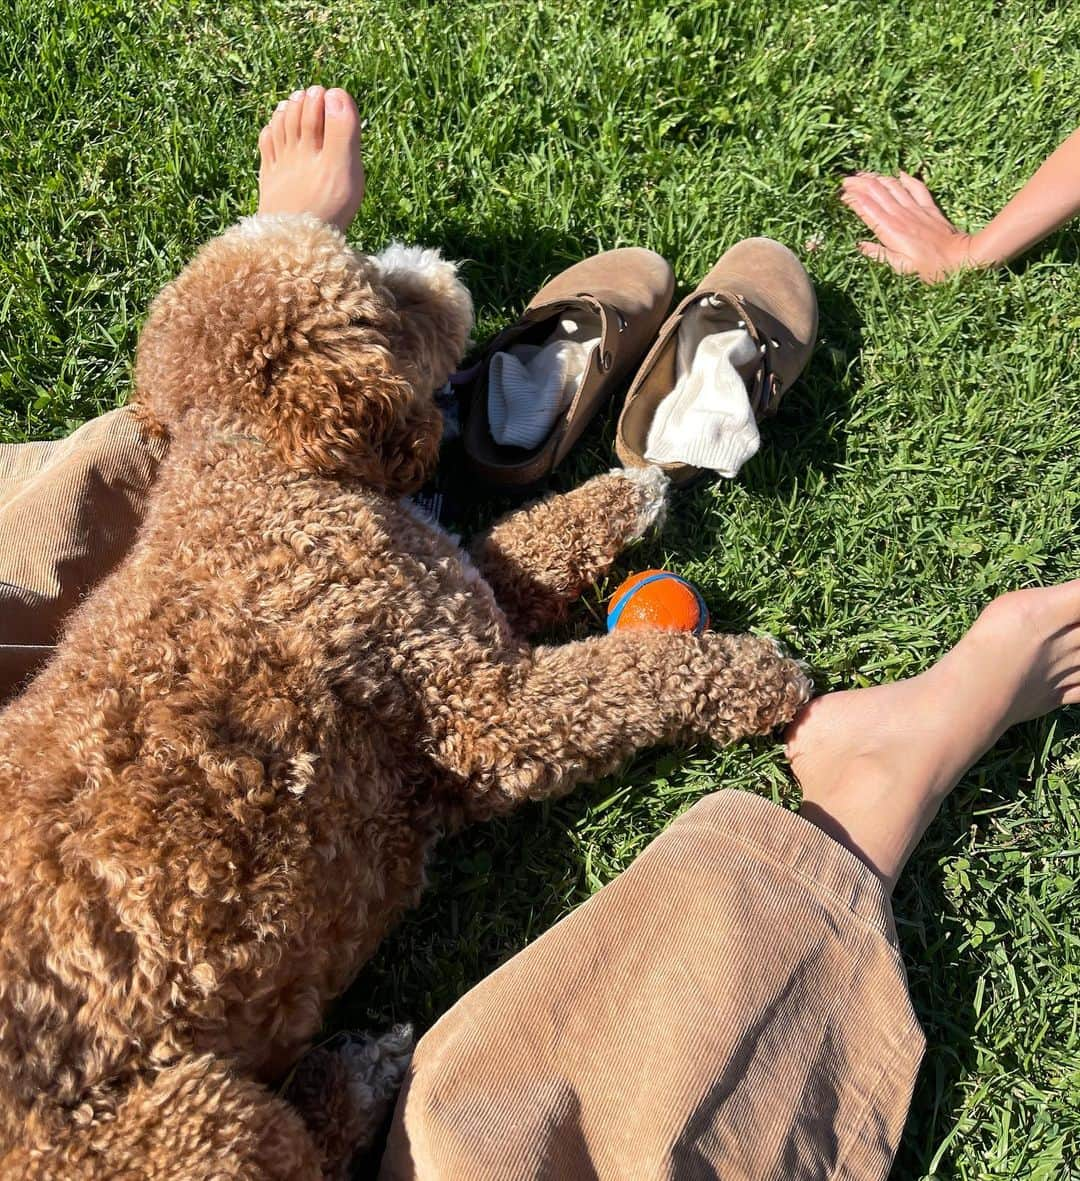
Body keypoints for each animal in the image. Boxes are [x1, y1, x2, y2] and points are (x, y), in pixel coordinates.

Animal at [0, 214, 808, 1181]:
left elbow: (523, 538)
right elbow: (629, 675)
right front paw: (753, 673)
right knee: (302, 1150)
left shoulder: (450, 591)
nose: (436, 267)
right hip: (196, 1130)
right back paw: (361, 1073)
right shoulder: (488, 707)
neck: (254, 470)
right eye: (381, 295)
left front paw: (627, 491)